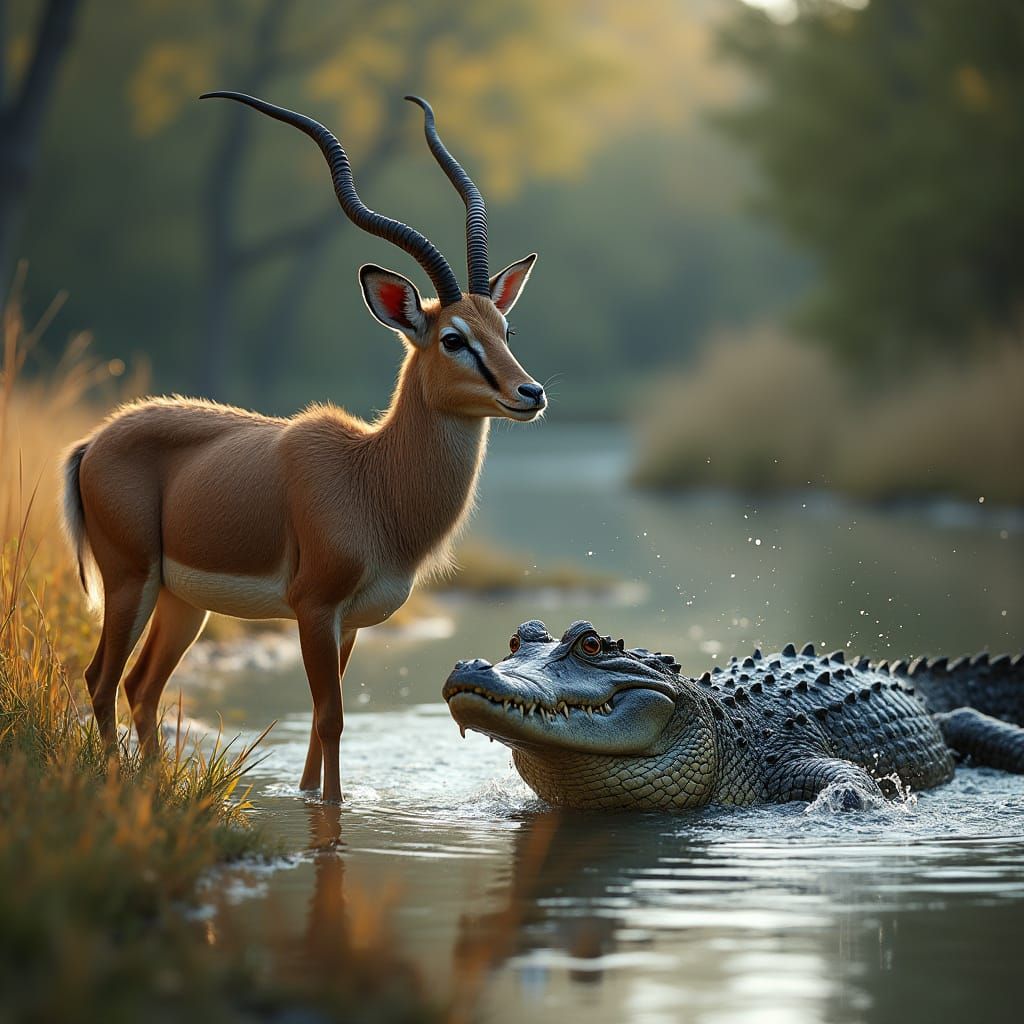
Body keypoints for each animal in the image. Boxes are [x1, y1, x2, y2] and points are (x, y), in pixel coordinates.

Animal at [61, 92, 545, 802]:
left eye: (505, 329)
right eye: (453, 338)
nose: (530, 393)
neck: (371, 476)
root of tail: (94, 441)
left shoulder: (349, 622)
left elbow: (319, 725)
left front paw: (312, 798)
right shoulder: (313, 610)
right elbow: (332, 717)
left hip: (182, 602)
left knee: (140, 687)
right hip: (130, 580)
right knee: (100, 679)